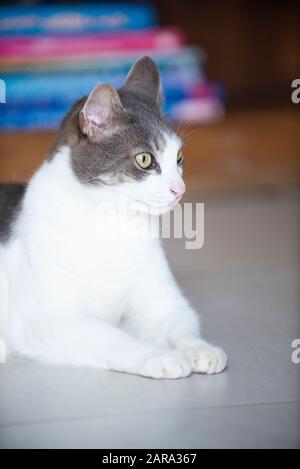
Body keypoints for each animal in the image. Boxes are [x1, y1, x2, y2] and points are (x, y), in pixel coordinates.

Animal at [0, 56, 226, 378]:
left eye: (179, 158)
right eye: (144, 159)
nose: (179, 189)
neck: (113, 228)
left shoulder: (163, 301)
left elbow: (180, 324)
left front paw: (200, 349)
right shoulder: (51, 321)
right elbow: (115, 338)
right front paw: (161, 356)